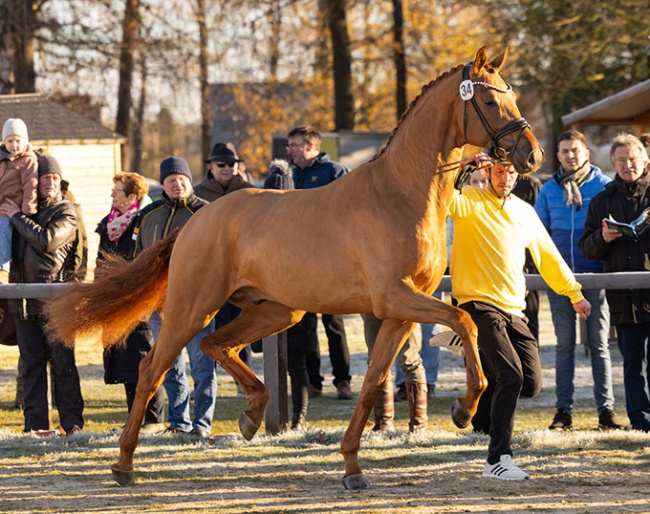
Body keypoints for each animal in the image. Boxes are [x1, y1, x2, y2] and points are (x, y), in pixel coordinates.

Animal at [45, 46, 544, 490]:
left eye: (512, 97)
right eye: (489, 101)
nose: (533, 156)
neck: (399, 195)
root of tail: (196, 219)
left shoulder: (400, 313)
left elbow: (372, 383)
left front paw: (353, 467)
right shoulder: (396, 298)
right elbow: (464, 321)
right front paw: (463, 408)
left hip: (278, 311)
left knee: (216, 346)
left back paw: (250, 416)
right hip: (194, 307)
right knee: (152, 369)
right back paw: (124, 465)